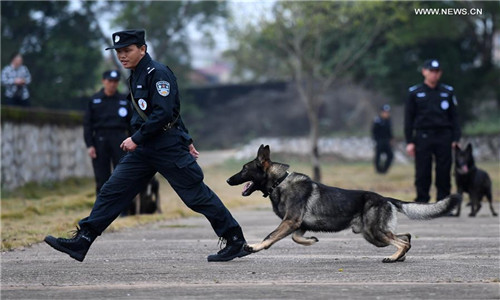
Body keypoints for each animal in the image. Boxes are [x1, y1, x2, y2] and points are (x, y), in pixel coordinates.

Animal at [227, 145, 460, 262]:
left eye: (244, 169)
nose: (228, 180)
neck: (279, 182)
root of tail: (385, 198)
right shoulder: (297, 225)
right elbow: (296, 238)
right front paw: (311, 241)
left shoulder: (290, 221)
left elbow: (270, 236)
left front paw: (254, 246)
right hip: (373, 235)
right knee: (406, 237)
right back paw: (399, 257)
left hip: (375, 233)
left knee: (402, 241)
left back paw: (393, 257)